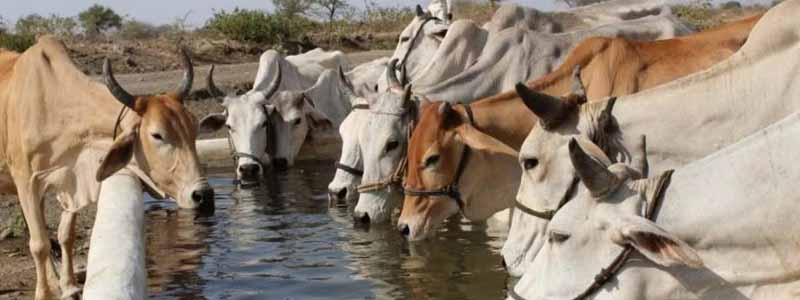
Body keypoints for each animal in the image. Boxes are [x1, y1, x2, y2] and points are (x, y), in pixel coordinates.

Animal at [0, 35, 212, 298]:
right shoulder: (26, 181)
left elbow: (65, 235)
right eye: (157, 135)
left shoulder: (72, 182)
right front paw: (44, 294)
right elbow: (38, 244)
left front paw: (68, 286)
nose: (203, 195)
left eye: (194, 128)